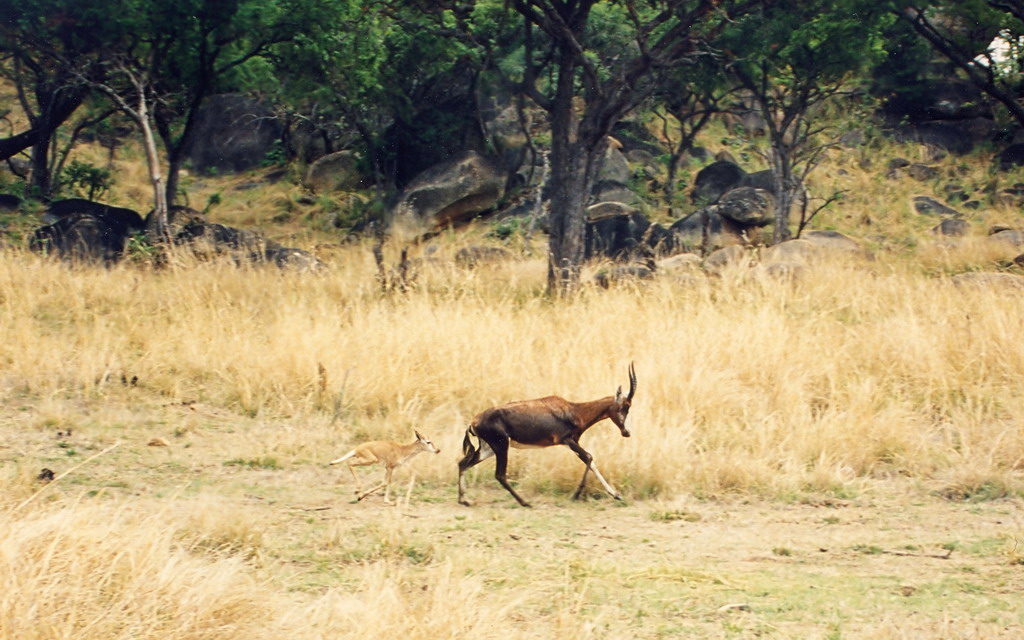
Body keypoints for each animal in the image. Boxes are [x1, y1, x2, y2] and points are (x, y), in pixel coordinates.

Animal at [454, 362, 630, 505]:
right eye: (624, 407)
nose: (626, 432)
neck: (572, 410)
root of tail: (473, 422)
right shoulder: (567, 440)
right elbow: (589, 457)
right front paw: (576, 495)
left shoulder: (571, 443)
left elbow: (591, 461)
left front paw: (616, 495)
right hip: (501, 446)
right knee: (500, 475)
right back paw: (525, 502)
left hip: (488, 449)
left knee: (463, 463)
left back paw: (464, 500)